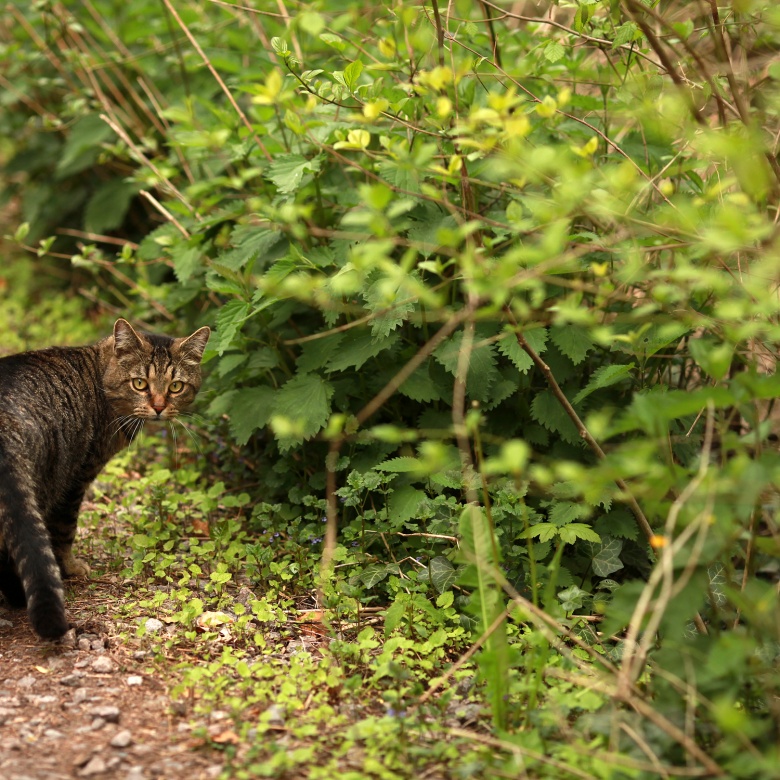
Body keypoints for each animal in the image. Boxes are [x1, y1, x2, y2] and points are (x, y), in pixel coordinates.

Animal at [0, 316, 209, 640]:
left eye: (176, 387)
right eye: (140, 383)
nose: (159, 407)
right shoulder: (77, 479)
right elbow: (64, 532)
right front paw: (70, 567)